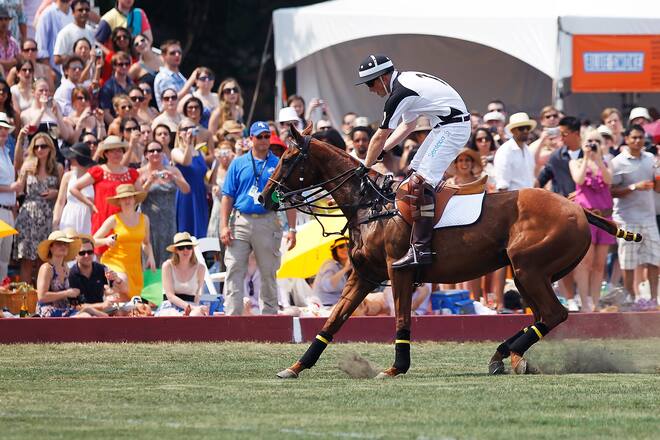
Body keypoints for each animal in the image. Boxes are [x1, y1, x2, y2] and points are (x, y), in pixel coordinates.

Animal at [259, 125, 641, 378]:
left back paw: (508, 355)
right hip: (528, 273)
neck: (370, 205)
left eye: (288, 159)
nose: (263, 197)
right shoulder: (364, 275)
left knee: (554, 314)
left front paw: (396, 368)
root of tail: (579, 209)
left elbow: (401, 319)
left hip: (529, 268)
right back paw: (505, 355)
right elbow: (332, 320)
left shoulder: (399, 270)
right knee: (544, 316)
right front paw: (295, 366)